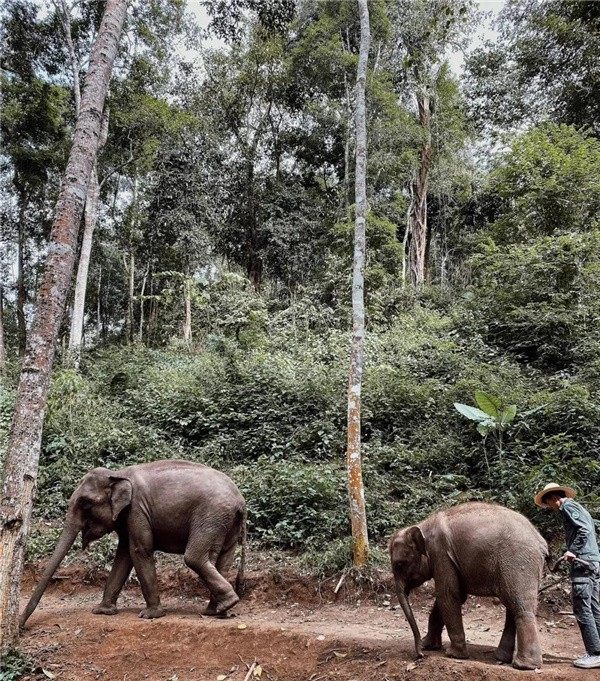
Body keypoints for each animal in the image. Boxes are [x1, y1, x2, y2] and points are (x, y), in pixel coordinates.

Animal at [21, 456, 246, 628]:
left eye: (85, 503)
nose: (21, 626)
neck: (117, 474)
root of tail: (240, 502)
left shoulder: (137, 510)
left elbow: (139, 549)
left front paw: (150, 615)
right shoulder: (126, 517)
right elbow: (123, 554)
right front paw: (102, 611)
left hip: (211, 516)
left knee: (195, 557)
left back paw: (226, 604)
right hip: (225, 522)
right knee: (223, 559)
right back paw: (216, 611)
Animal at [390, 500, 548, 668]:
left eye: (399, 564)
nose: (419, 655)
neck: (424, 525)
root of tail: (541, 541)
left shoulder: (441, 554)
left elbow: (448, 594)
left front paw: (453, 654)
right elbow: (451, 597)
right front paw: (429, 645)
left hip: (517, 562)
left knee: (520, 606)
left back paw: (524, 666)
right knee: (512, 605)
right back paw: (501, 658)